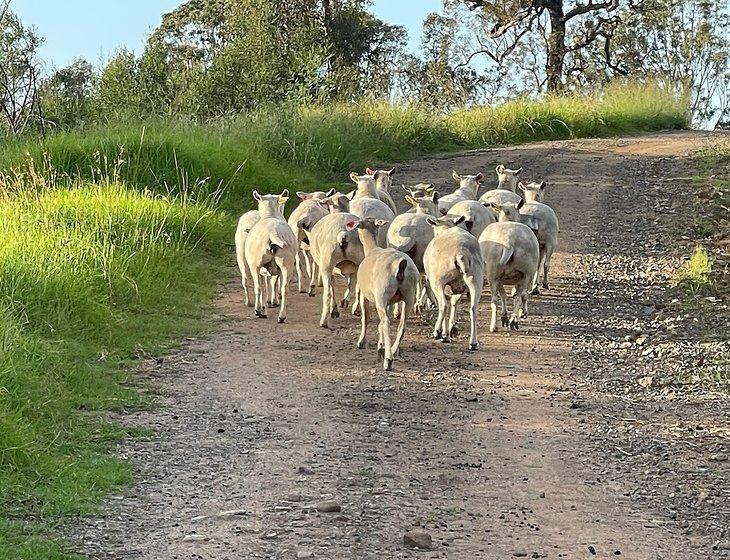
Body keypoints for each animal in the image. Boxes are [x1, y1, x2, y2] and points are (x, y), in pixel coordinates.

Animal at [243, 190, 298, 322]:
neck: (270, 215)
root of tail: (273, 233)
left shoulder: (261, 269)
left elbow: (263, 287)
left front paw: (263, 309)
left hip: (255, 264)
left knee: (258, 287)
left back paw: (257, 311)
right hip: (286, 264)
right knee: (285, 289)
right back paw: (282, 316)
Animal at [350, 217, 418, 370]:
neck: (372, 249)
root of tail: (401, 265)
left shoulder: (365, 295)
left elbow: (366, 318)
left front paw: (362, 342)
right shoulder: (390, 301)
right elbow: (381, 323)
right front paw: (380, 345)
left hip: (382, 295)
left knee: (386, 322)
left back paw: (388, 360)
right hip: (408, 296)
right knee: (402, 325)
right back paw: (392, 350)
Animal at [420, 215, 484, 350]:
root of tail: (461, 252)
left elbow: (446, 304)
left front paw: (444, 334)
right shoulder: (459, 288)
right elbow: (454, 303)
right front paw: (451, 329)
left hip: (438, 281)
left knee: (443, 305)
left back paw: (437, 332)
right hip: (476, 279)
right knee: (473, 309)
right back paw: (473, 343)